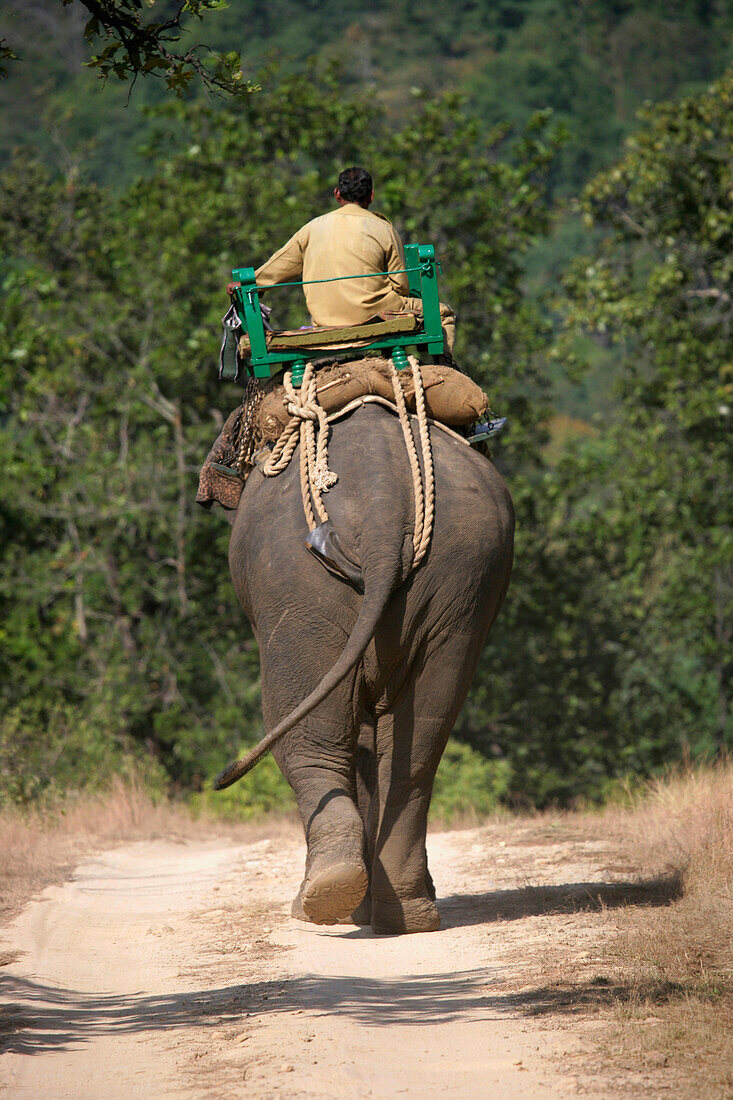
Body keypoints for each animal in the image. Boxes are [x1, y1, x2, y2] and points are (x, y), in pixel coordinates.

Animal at [220, 400, 510, 932]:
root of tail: (383, 505)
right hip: (465, 577)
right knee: (421, 740)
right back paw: (406, 915)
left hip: (295, 585)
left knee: (304, 731)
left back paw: (323, 901)